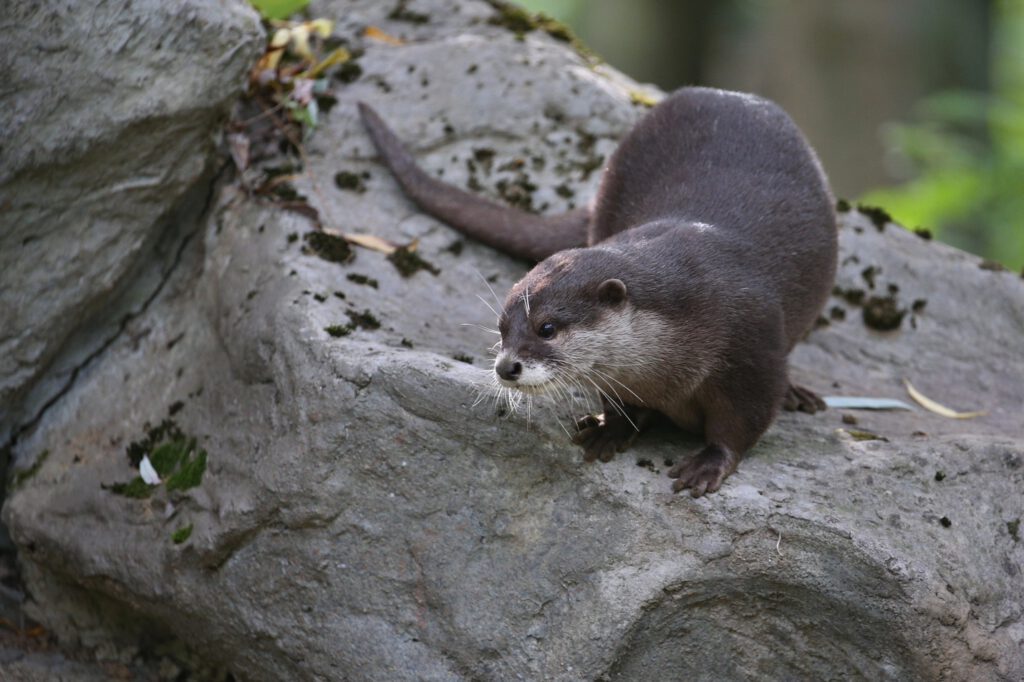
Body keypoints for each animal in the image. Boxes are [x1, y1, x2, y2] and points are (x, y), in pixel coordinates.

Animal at [358, 87, 836, 497]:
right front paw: (611, 428)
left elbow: (742, 423)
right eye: (502, 328)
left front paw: (709, 464)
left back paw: (798, 395)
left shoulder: (751, 347)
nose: (506, 367)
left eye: (547, 328)